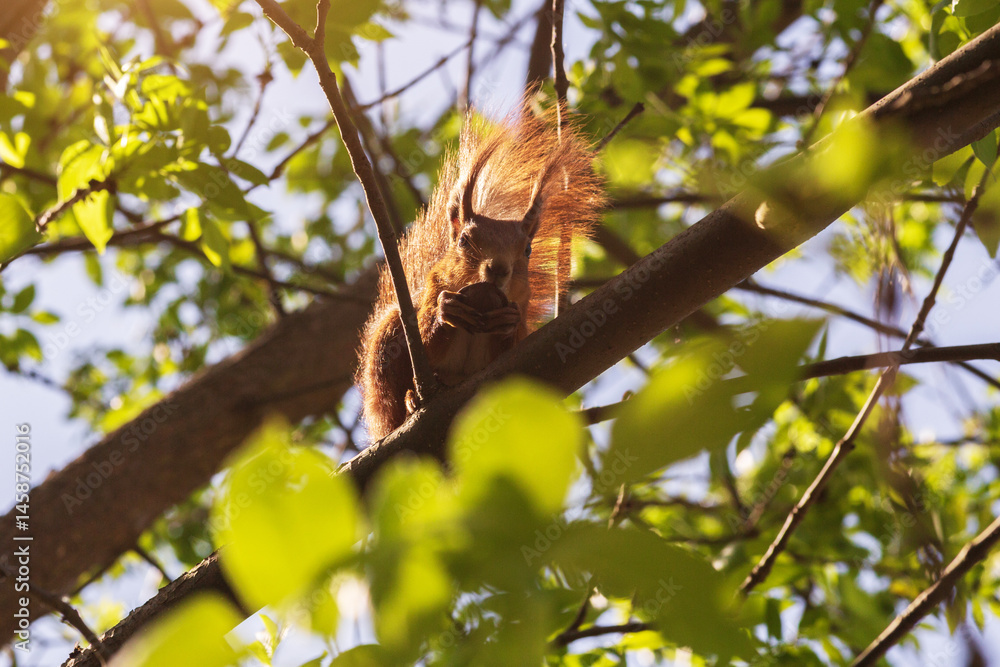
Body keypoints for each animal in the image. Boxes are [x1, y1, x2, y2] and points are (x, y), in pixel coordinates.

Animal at [356, 106, 606, 441]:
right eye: (464, 241)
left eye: (527, 250)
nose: (498, 268)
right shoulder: (433, 292)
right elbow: (426, 341)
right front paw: (446, 312)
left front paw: (507, 322)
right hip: (385, 348)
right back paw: (409, 402)